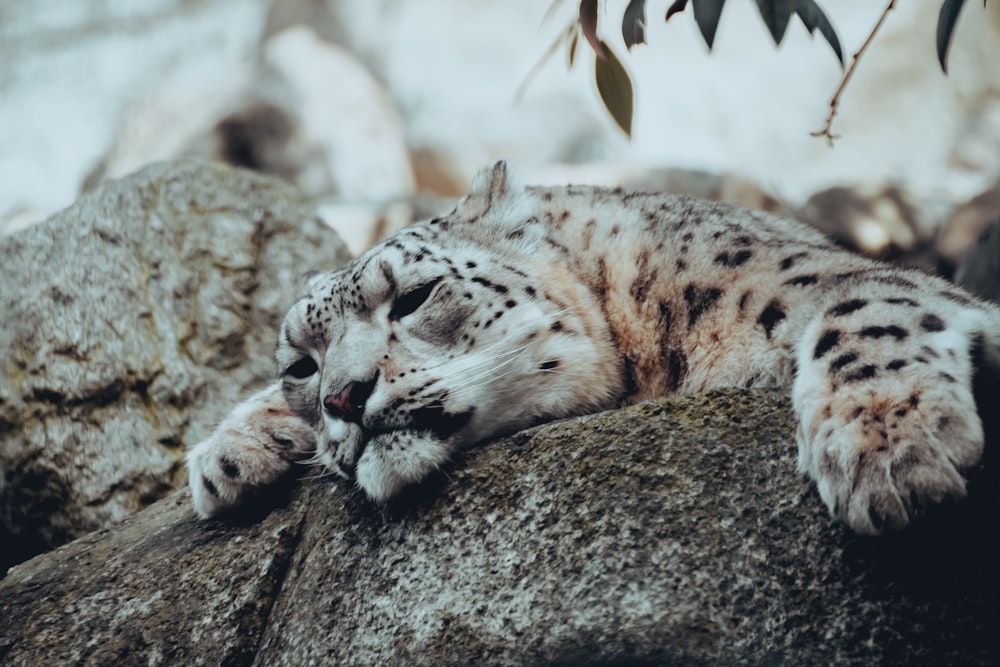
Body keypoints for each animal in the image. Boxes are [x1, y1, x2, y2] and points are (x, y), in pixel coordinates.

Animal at [188, 163, 1000, 536]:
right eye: (299, 365)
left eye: (415, 297)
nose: (342, 397)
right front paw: (225, 456)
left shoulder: (826, 284)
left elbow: (866, 308)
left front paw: (887, 451)